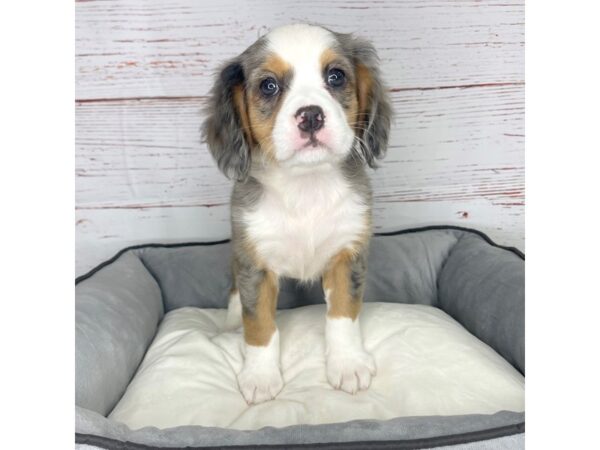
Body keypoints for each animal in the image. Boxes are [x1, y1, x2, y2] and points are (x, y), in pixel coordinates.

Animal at [202, 23, 390, 404]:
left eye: (335, 76)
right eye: (268, 86)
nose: (312, 115)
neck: (306, 187)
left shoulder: (346, 254)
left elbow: (343, 313)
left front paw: (347, 363)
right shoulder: (255, 263)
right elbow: (259, 324)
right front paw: (260, 376)